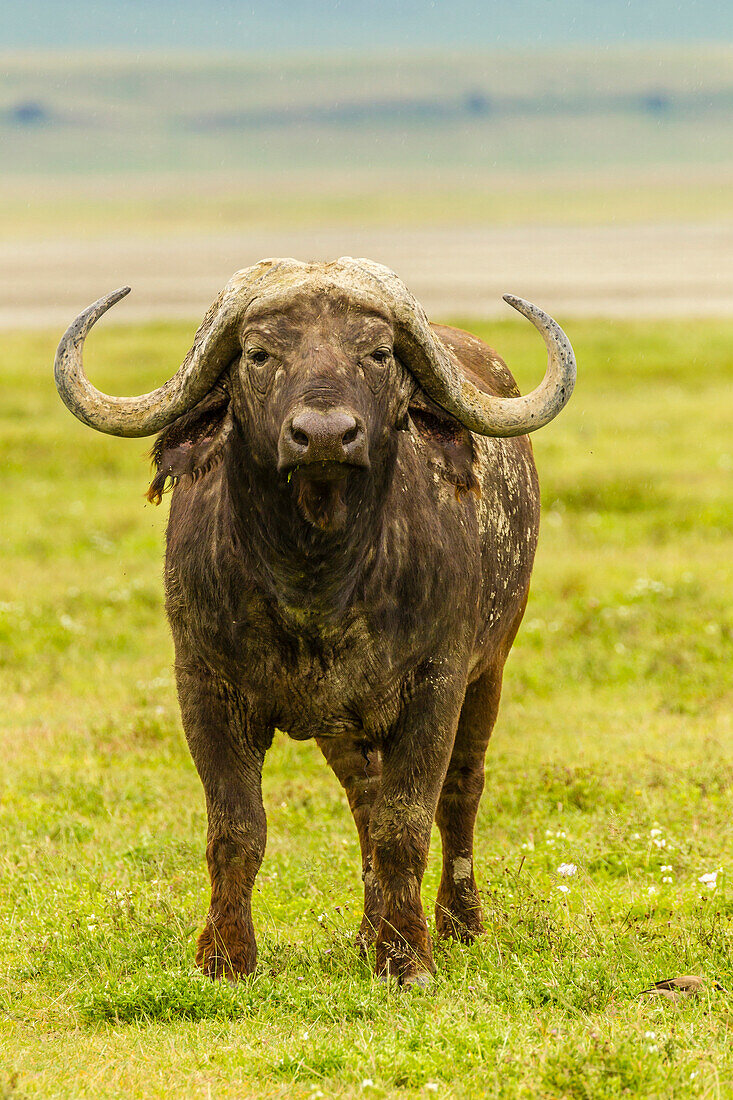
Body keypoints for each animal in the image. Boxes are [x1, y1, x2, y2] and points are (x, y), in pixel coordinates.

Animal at [54, 259, 572, 990]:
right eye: (259, 353)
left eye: (377, 353)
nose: (325, 434)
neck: (316, 582)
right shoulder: (204, 687)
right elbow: (237, 828)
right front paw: (225, 957)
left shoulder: (436, 685)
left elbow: (408, 822)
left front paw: (408, 957)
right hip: (343, 727)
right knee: (364, 802)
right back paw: (365, 933)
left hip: (490, 667)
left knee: (460, 792)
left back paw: (457, 923)